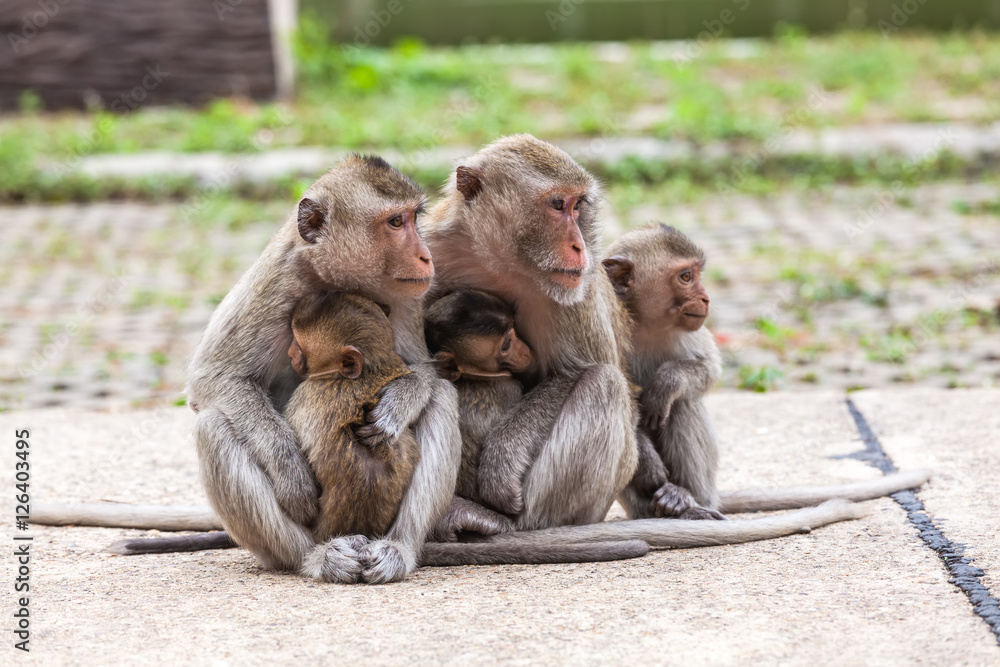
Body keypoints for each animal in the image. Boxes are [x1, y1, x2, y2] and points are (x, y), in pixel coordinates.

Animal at [603, 223, 725, 522]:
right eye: (686, 277)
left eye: (696, 273)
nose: (706, 298)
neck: (642, 323)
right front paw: (647, 463)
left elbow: (710, 370)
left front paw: (668, 381)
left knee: (683, 403)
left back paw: (684, 499)